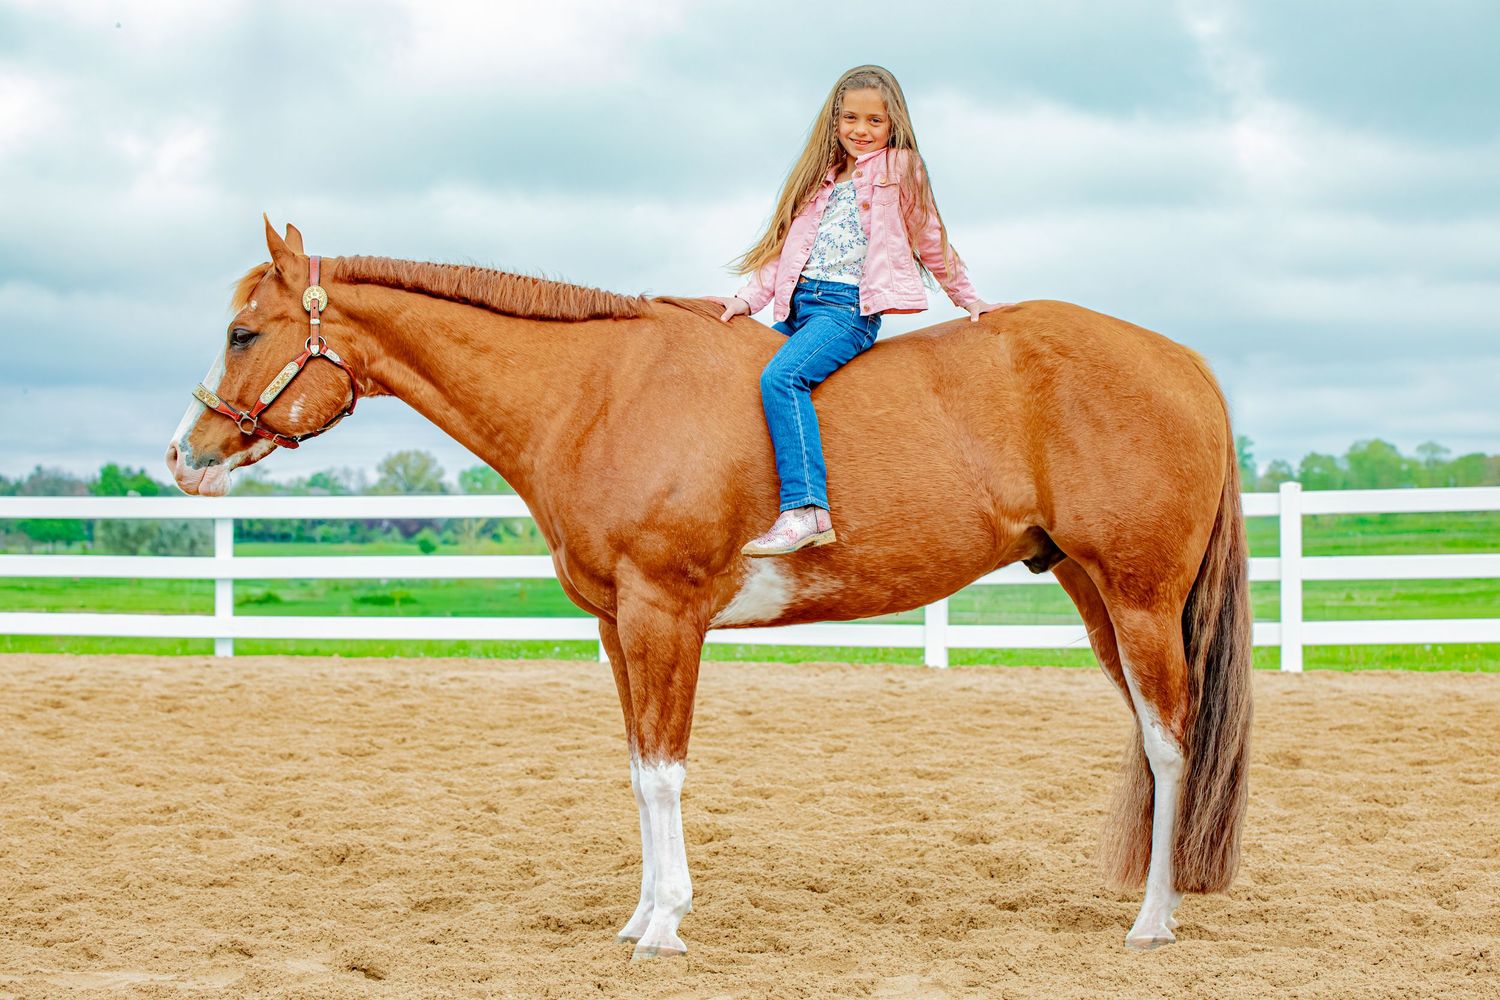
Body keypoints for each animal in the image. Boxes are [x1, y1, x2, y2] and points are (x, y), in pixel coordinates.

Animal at [166, 218, 1252, 957]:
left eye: (242, 332)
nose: (186, 455)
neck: (597, 393)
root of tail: (1186, 363)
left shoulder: (666, 615)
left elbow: (666, 769)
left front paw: (666, 926)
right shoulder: (619, 627)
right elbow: (637, 765)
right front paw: (641, 913)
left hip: (1140, 600)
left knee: (1171, 741)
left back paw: (1153, 920)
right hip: (1093, 597)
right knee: (1155, 739)